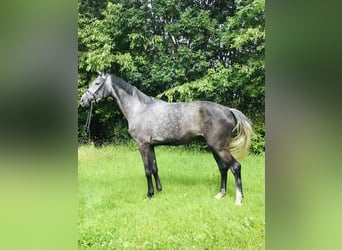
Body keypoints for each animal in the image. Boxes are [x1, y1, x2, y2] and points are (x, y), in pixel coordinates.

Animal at [80, 72, 254, 205]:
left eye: (97, 83)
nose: (83, 100)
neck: (139, 108)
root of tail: (228, 110)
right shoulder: (151, 146)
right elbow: (155, 168)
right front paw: (159, 190)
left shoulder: (143, 145)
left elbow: (147, 170)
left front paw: (149, 194)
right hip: (214, 148)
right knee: (223, 168)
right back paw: (220, 195)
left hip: (219, 147)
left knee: (235, 167)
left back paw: (238, 200)